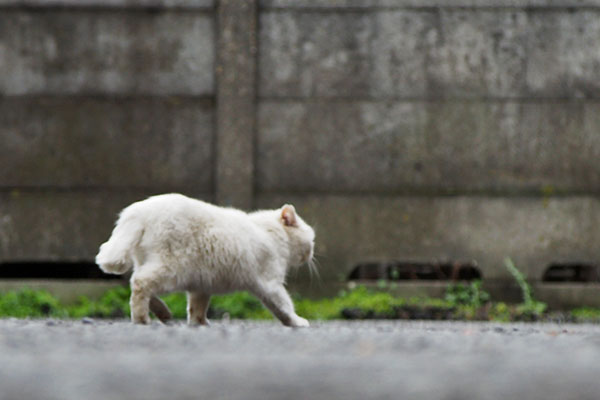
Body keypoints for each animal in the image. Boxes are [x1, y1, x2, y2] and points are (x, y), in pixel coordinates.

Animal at [95, 194, 314, 328]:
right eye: (311, 239)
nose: (312, 253)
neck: (272, 232)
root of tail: (139, 211)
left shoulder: (201, 285)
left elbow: (197, 308)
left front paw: (199, 324)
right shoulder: (271, 284)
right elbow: (284, 306)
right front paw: (297, 322)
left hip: (156, 264)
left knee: (138, 282)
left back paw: (162, 311)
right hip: (171, 268)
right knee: (140, 283)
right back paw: (141, 318)